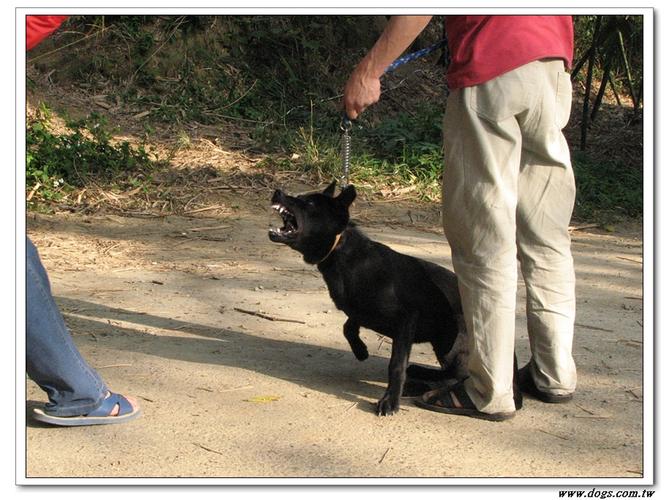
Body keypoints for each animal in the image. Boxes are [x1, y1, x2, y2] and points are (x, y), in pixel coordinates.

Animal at [268, 182, 468, 416]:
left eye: (309, 203)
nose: (277, 192)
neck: (340, 251)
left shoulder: (406, 319)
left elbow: (396, 365)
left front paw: (390, 400)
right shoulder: (358, 310)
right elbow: (348, 327)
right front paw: (360, 350)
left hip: (450, 345)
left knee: (457, 375)